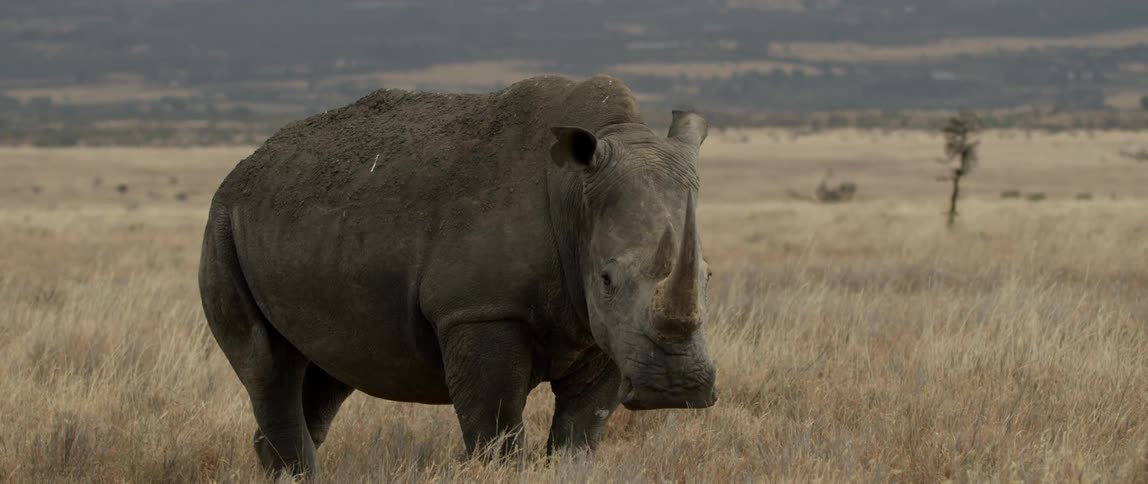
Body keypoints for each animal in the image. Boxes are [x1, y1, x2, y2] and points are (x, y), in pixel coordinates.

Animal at [198, 75, 717, 479]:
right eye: (607, 279)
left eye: (708, 277)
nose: (678, 388)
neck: (574, 194)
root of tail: (243, 168)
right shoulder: (479, 311)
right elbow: (497, 432)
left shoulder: (601, 330)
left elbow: (579, 436)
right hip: (222, 222)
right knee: (269, 366)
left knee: (328, 374)